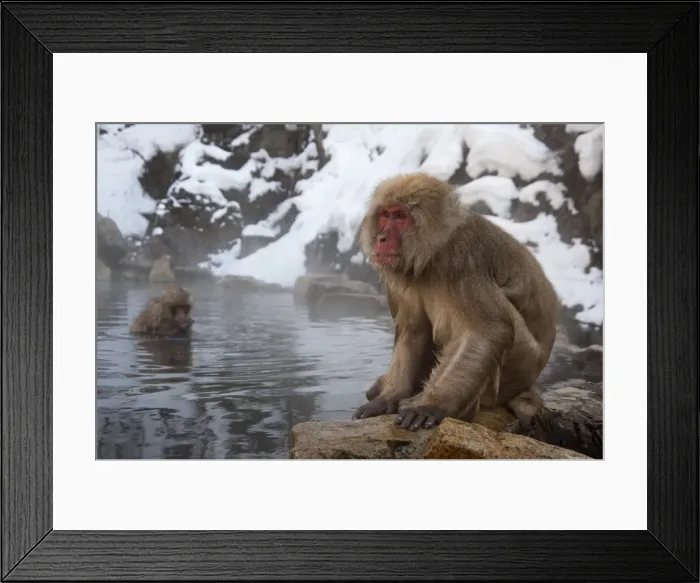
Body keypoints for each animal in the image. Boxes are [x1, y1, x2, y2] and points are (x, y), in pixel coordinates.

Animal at [351, 172, 559, 432]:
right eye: (386, 215)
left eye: (401, 216)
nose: (381, 238)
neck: (434, 251)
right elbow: (413, 329)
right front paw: (390, 396)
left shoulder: (463, 262)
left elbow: (487, 331)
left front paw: (433, 406)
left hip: (520, 365)